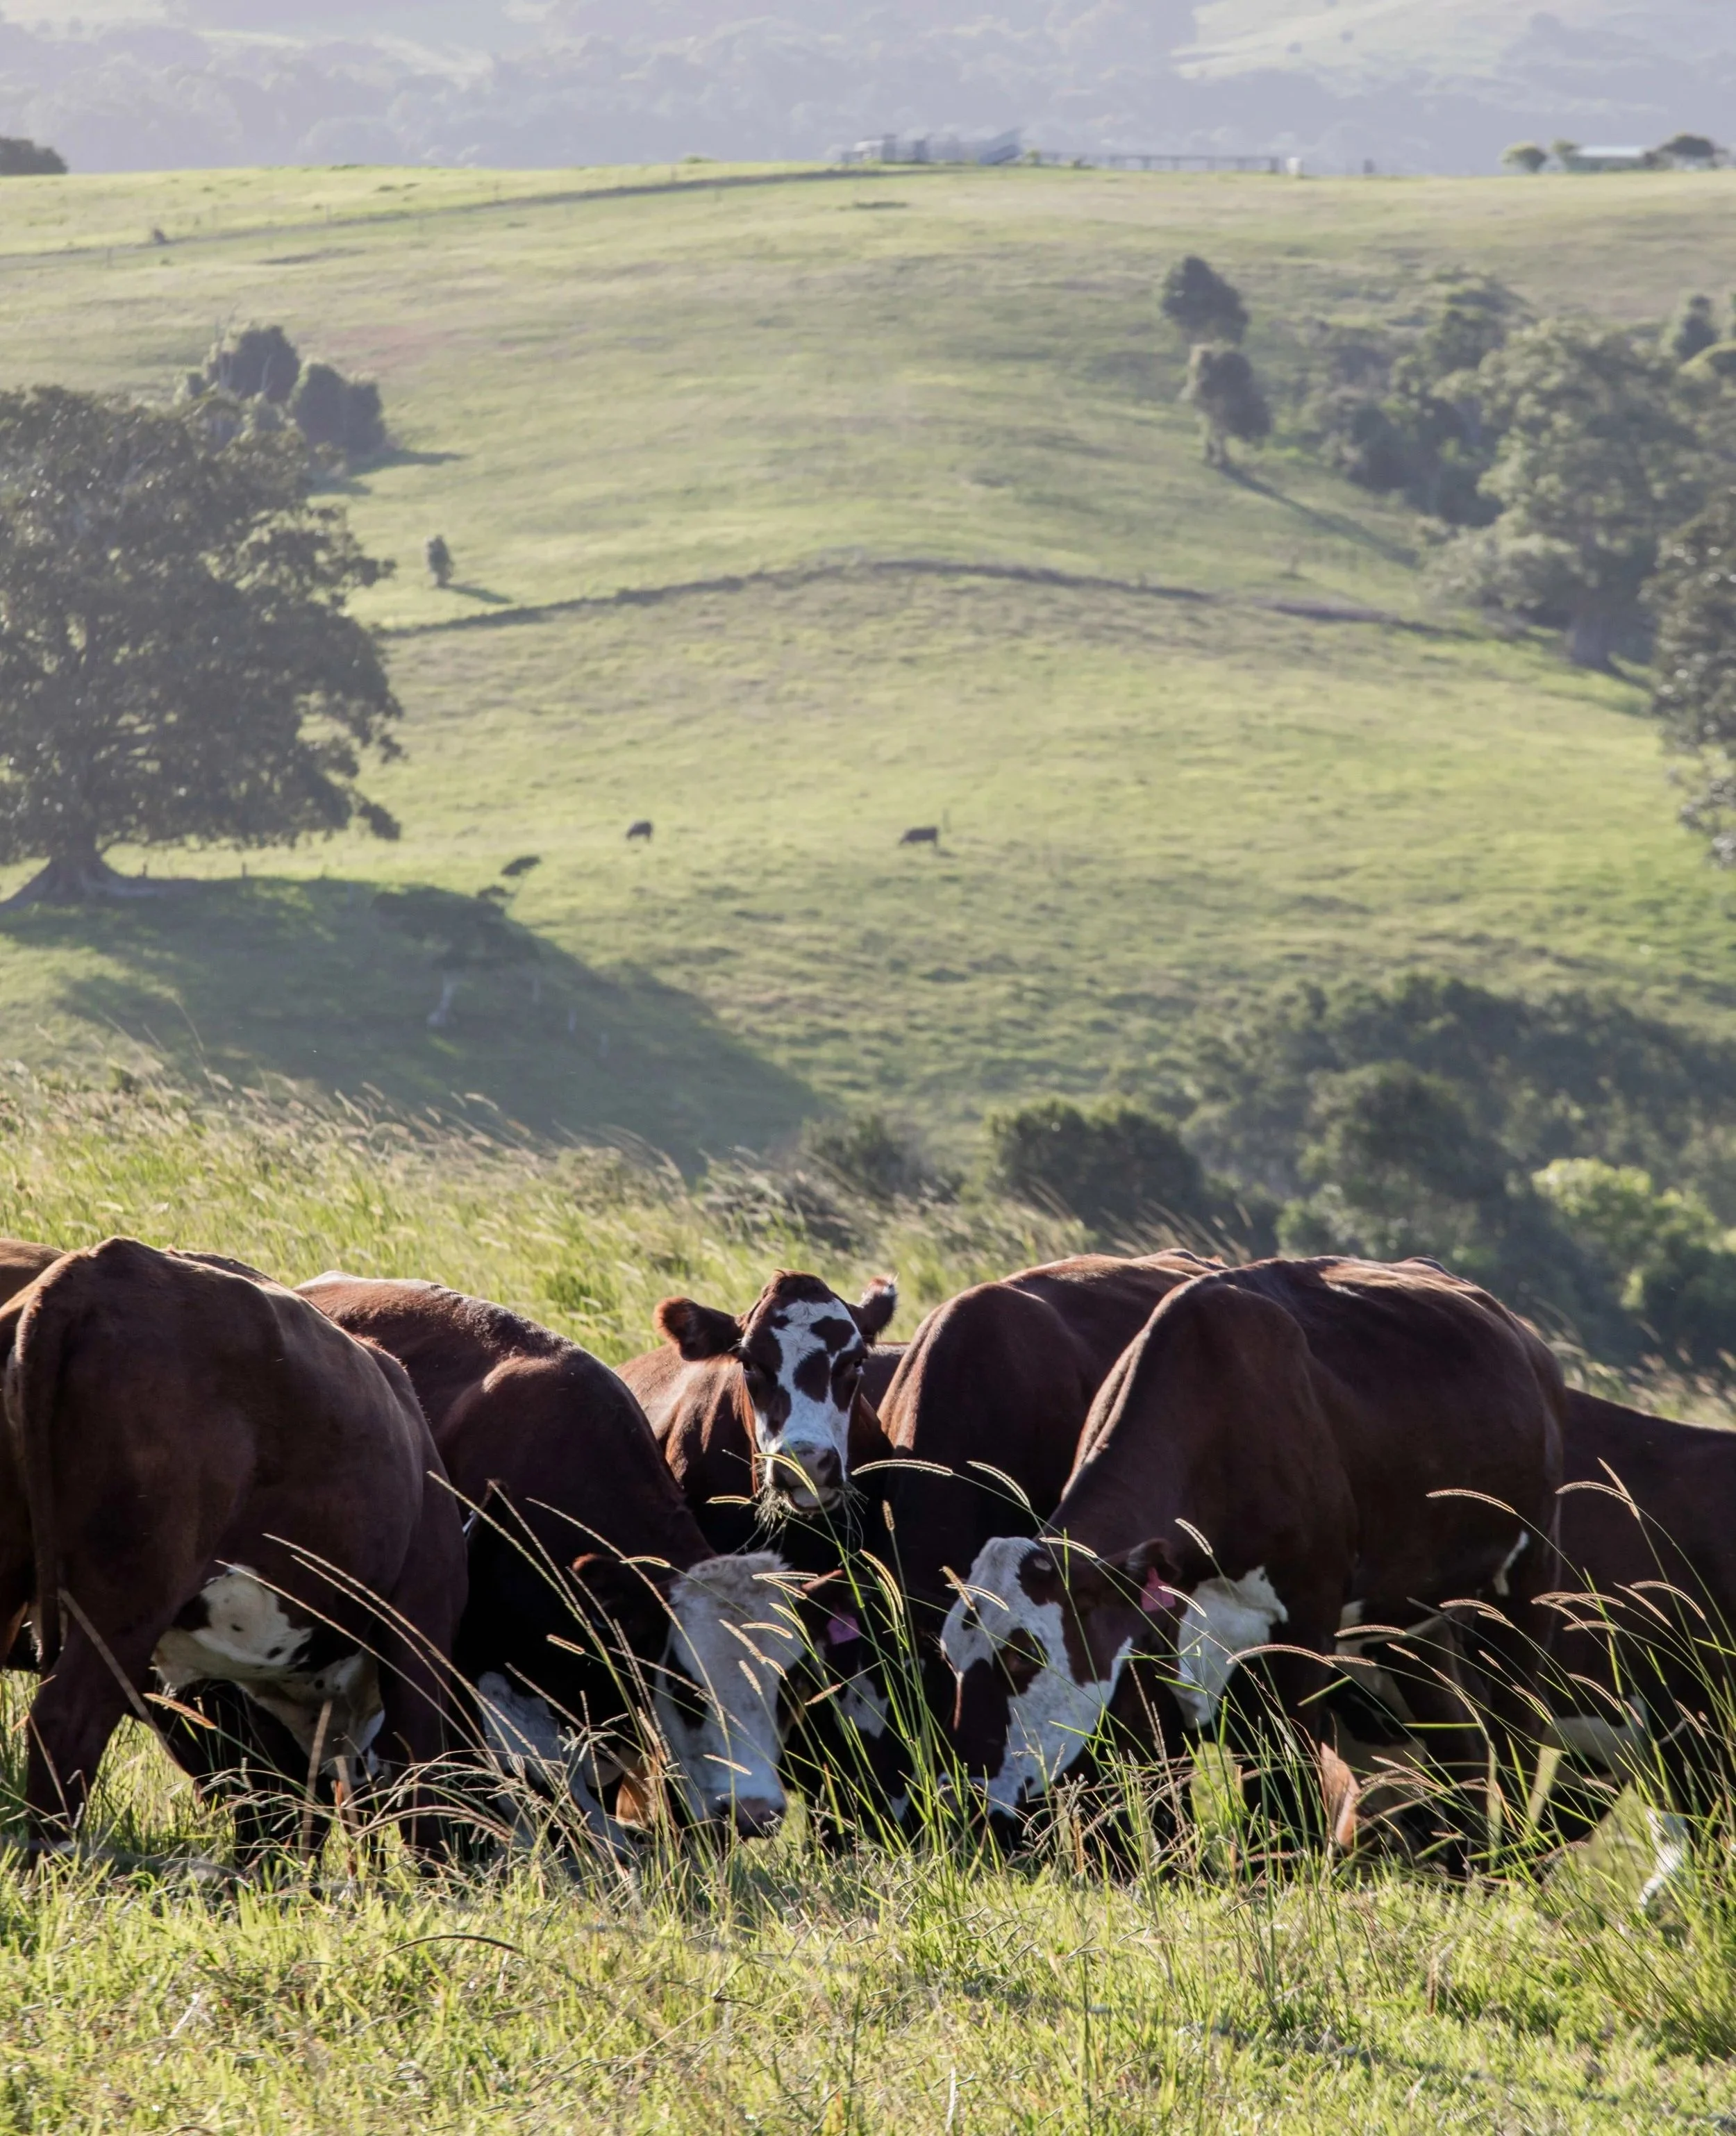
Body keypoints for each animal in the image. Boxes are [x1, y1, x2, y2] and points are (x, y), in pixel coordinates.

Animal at [940, 1257, 1566, 1860]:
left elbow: (1285, 1787)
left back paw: (1514, 1859)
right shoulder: (1150, 1650)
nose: (962, 1792)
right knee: (1461, 1738)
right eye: (950, 1654)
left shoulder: (1303, 1629)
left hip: (1528, 1582)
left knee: (1517, 1730)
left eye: (1023, 1655)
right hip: (1410, 1618)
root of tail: (1526, 1338)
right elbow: (1160, 1791)